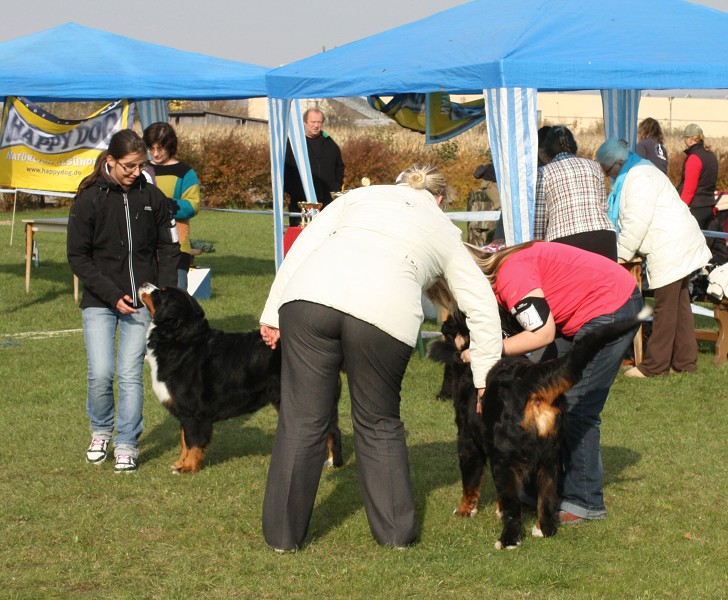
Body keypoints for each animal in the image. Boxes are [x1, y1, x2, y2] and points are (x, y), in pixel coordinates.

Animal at [139, 284, 344, 476]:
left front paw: (188, 467)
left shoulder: (192, 412)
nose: (143, 284)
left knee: (333, 431)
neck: (181, 340)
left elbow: (192, 442)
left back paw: (333, 462)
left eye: (161, 292)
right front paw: (179, 463)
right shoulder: (184, 411)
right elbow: (184, 440)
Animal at [430, 308, 652, 552]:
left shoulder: (468, 440)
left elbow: (470, 482)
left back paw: (508, 540)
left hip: (505, 458)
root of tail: (531, 378)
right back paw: (543, 530)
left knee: (513, 509)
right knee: (545, 499)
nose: (443, 326)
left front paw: (464, 511)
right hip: (549, 458)